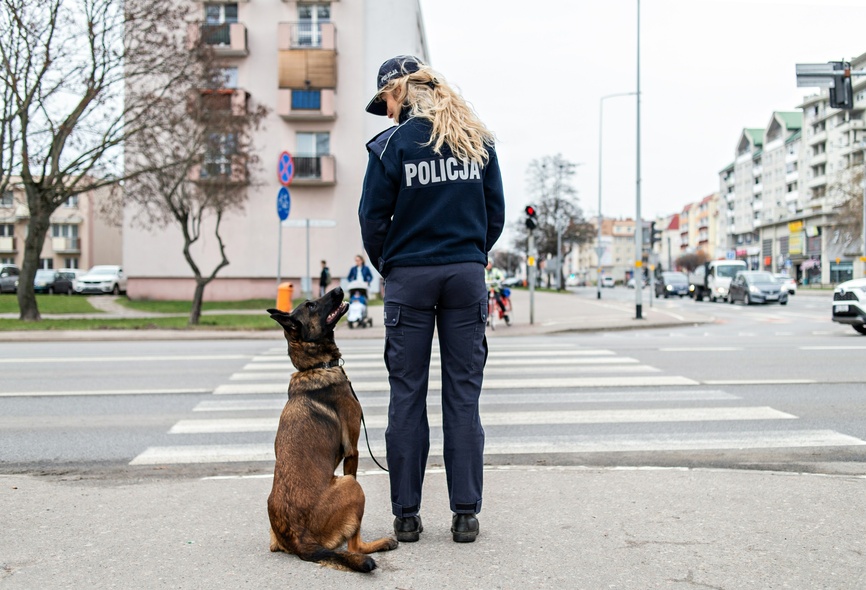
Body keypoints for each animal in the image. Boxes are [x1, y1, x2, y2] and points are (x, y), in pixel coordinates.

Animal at [264, 286, 396, 572]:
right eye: (311, 306)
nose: (338, 288)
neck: (314, 367)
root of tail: (299, 540)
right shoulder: (353, 451)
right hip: (351, 485)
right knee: (354, 545)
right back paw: (380, 544)